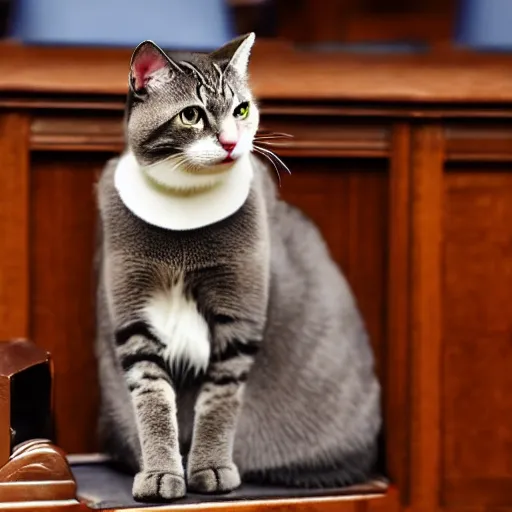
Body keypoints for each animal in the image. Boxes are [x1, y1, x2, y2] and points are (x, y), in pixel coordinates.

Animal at [94, 34, 382, 502]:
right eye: (191, 114)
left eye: (241, 110)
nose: (231, 142)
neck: (184, 206)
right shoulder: (134, 317)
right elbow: (152, 398)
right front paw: (160, 473)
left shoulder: (239, 318)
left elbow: (220, 400)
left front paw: (210, 468)